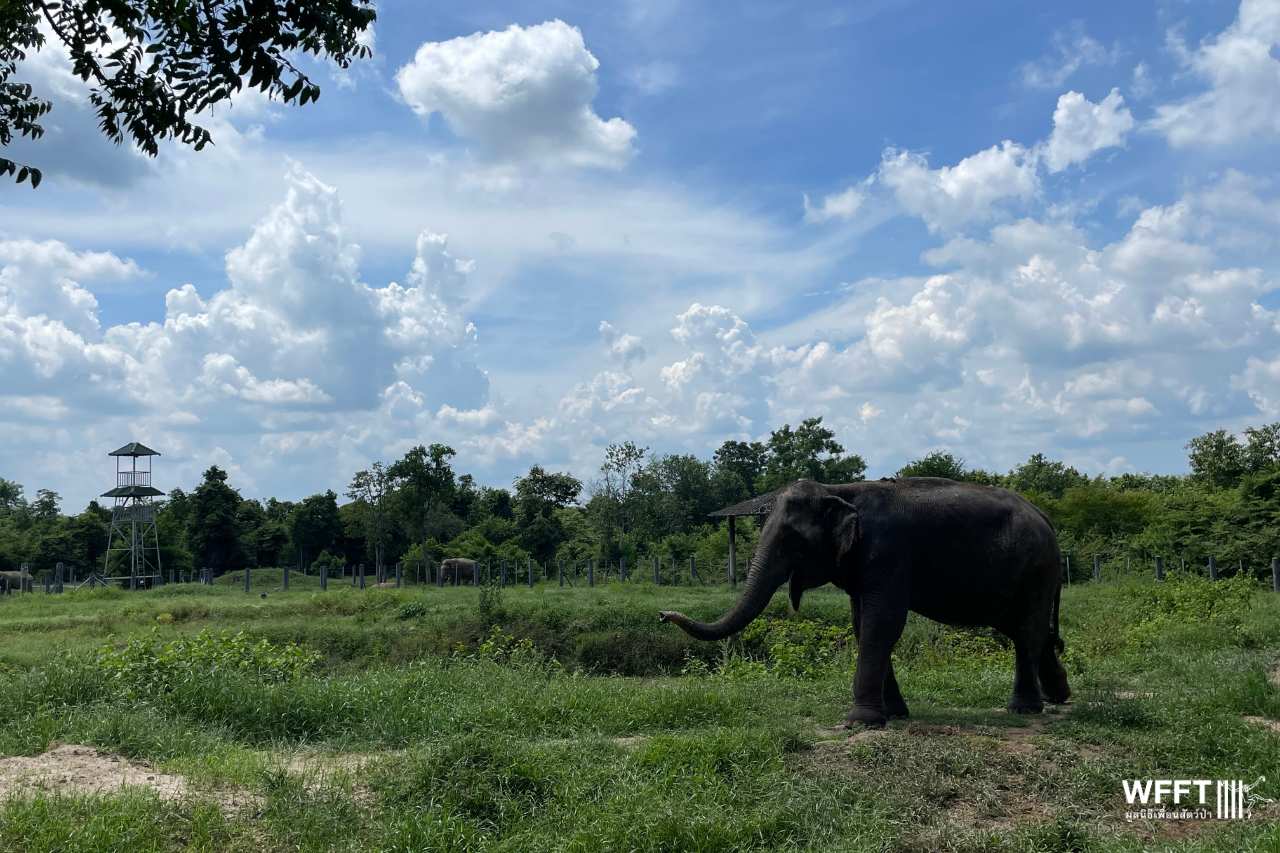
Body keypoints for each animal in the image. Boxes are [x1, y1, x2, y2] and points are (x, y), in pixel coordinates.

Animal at [660, 479, 1070, 722]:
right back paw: (1059, 697)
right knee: (1027, 630)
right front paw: (895, 714)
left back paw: (1024, 709)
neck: (839, 490)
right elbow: (861, 624)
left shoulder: (887, 553)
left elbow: (882, 623)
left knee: (1027, 630)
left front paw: (861, 721)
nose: (663, 614)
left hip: (1036, 569)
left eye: (792, 540)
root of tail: (1045, 517)